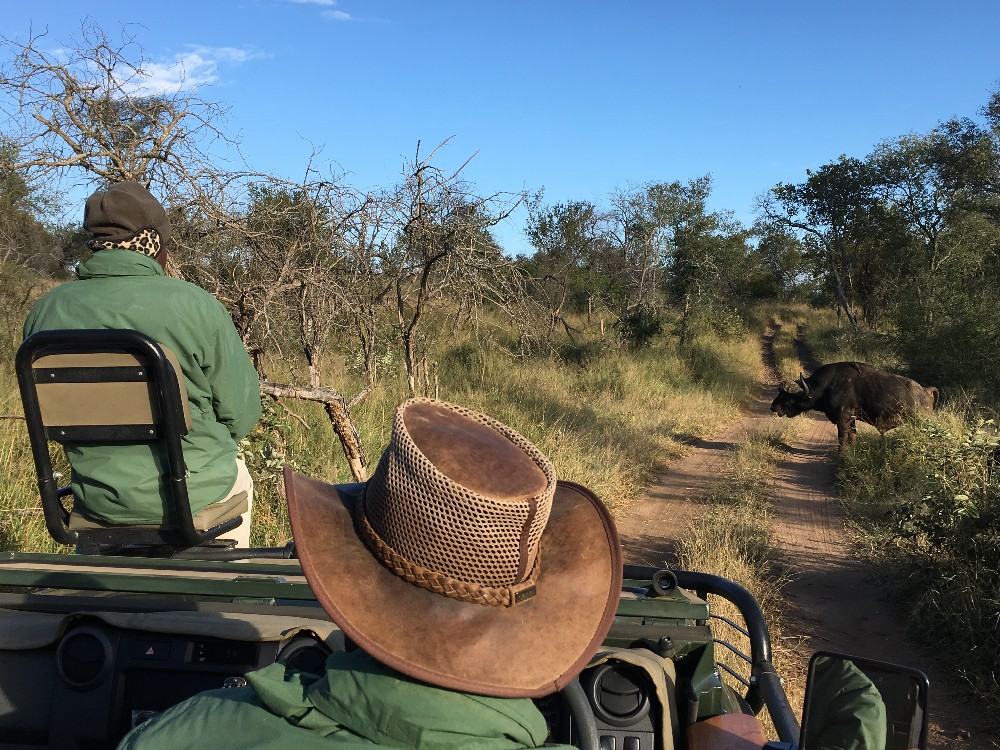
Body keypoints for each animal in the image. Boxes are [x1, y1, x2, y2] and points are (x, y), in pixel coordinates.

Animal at [770, 362, 939, 450]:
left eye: (787, 395)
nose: (773, 407)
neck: (826, 386)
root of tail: (926, 391)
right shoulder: (851, 420)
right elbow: (853, 437)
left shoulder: (842, 419)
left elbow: (842, 438)